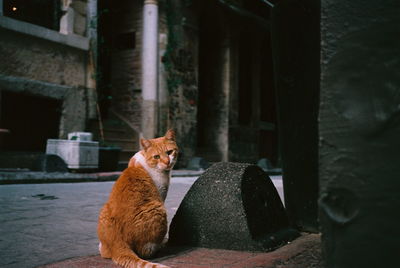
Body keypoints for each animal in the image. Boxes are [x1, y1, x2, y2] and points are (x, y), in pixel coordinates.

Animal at [97, 129, 178, 266]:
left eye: (169, 152)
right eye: (156, 157)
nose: (167, 162)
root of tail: (118, 240)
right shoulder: (161, 195)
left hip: (104, 209)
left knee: (105, 253)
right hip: (158, 209)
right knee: (145, 251)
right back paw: (160, 245)